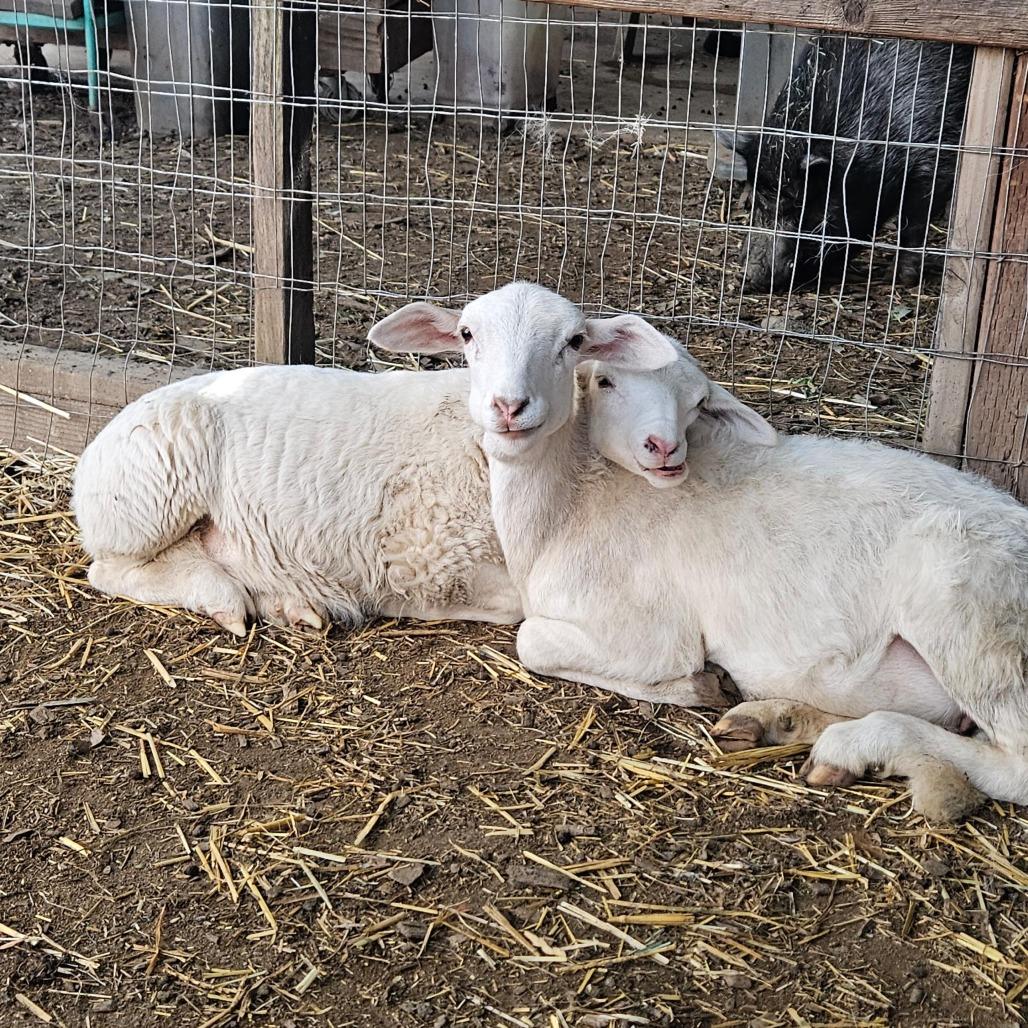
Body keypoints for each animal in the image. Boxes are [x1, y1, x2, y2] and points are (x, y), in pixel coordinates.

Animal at [371, 281, 1028, 819]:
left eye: (573, 341)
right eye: (467, 334)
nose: (509, 408)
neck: (572, 504)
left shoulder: (650, 629)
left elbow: (532, 642)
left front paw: (697, 685)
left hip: (970, 617)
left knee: (1013, 759)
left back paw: (854, 742)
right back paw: (779, 721)